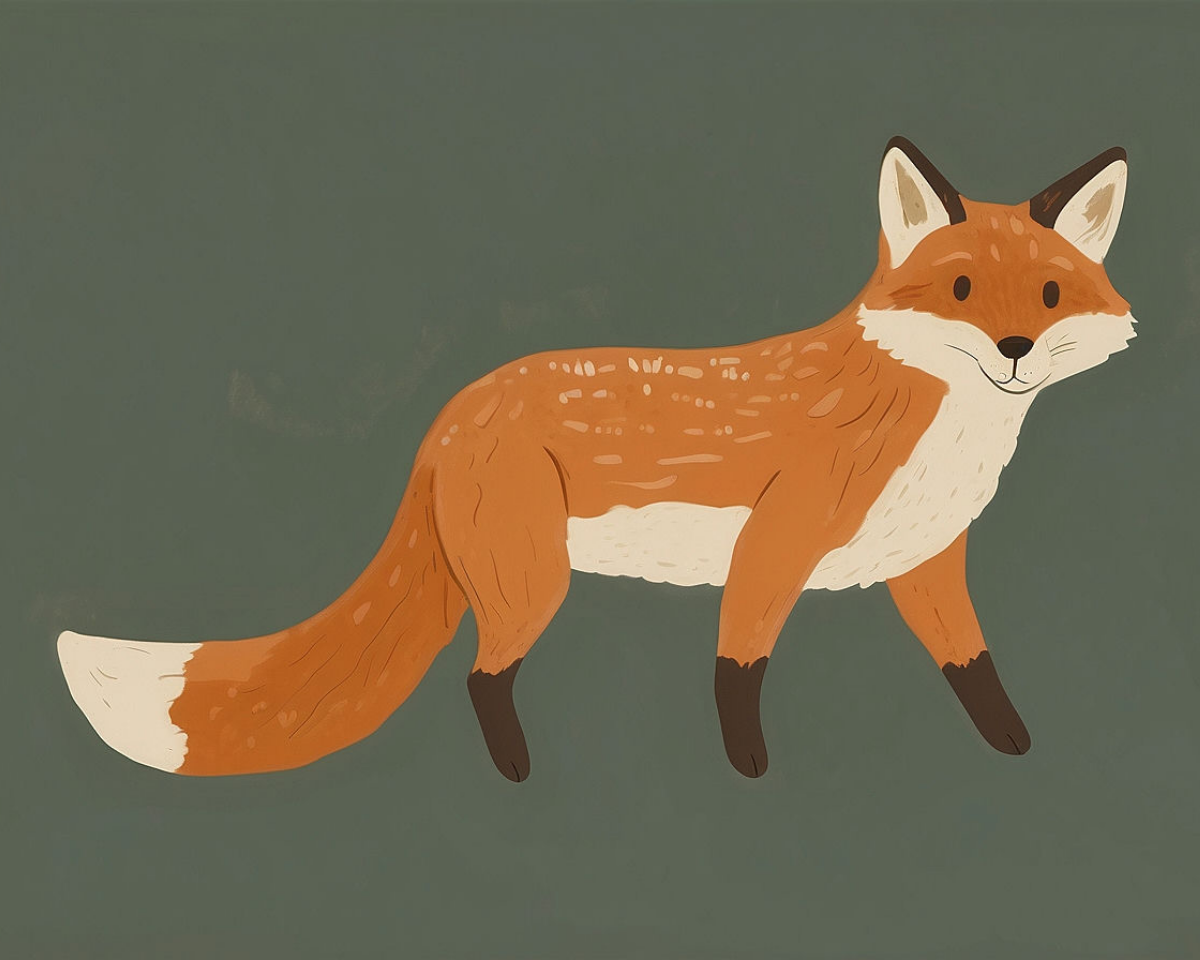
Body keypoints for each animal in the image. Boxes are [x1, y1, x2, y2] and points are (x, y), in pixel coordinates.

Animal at [58, 137, 1135, 781]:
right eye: (960, 291)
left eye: (1048, 297)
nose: (1014, 350)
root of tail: (450, 414)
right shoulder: (777, 543)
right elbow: (738, 665)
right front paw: (748, 767)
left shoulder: (926, 565)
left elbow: (975, 665)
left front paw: (1014, 743)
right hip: (534, 582)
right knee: (480, 677)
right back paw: (515, 772)